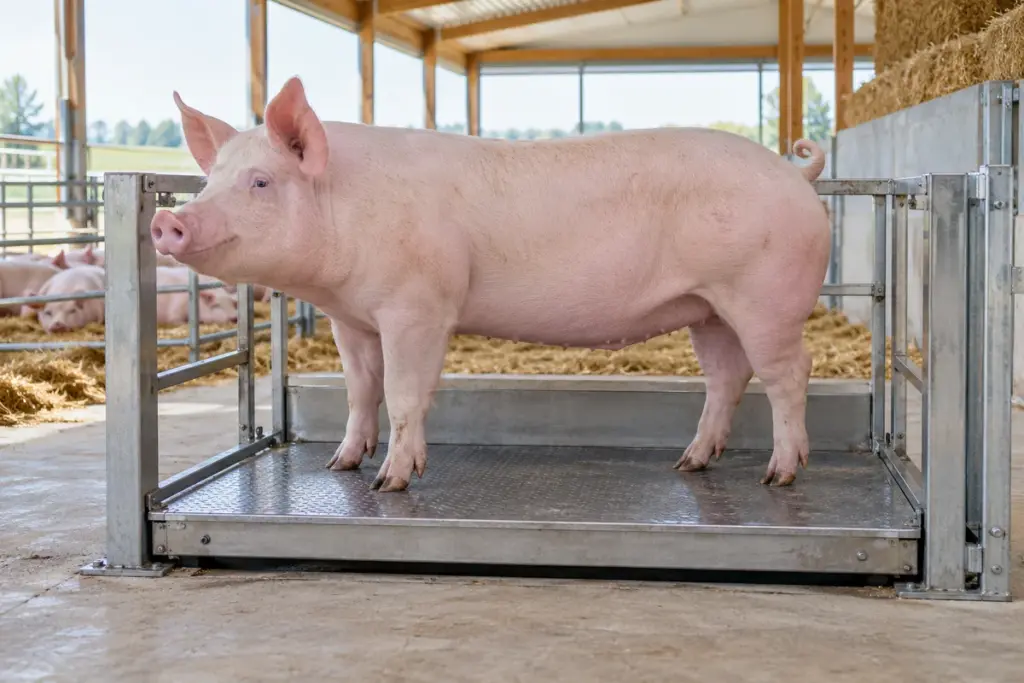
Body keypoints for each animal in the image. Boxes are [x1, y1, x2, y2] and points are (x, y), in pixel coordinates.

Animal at [150, 77, 831, 492]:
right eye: (211, 180)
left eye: (261, 182)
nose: (168, 221)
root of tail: (796, 175)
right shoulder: (351, 318)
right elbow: (360, 390)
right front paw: (340, 464)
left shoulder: (418, 305)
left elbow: (403, 393)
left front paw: (391, 482)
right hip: (709, 308)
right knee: (727, 377)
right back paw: (689, 464)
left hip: (767, 298)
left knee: (790, 373)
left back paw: (780, 475)